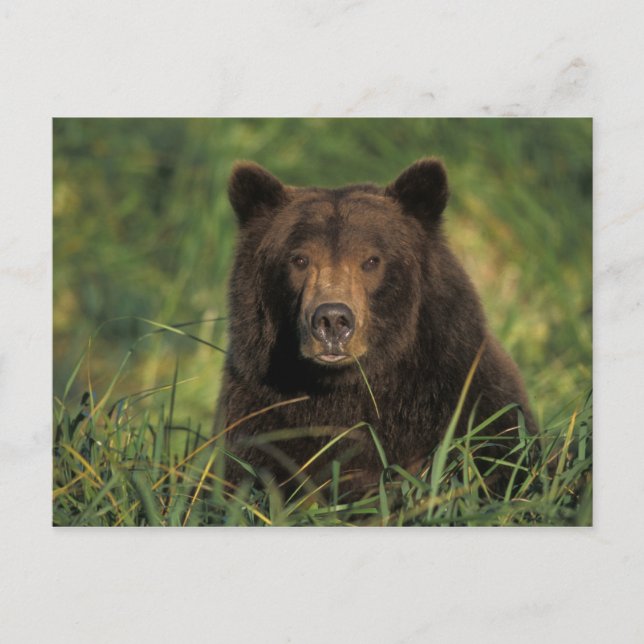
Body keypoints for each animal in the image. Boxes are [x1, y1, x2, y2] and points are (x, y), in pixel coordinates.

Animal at [217, 157, 535, 495]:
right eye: (299, 260)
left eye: (371, 260)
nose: (332, 320)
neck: (346, 388)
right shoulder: (261, 416)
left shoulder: (465, 402)